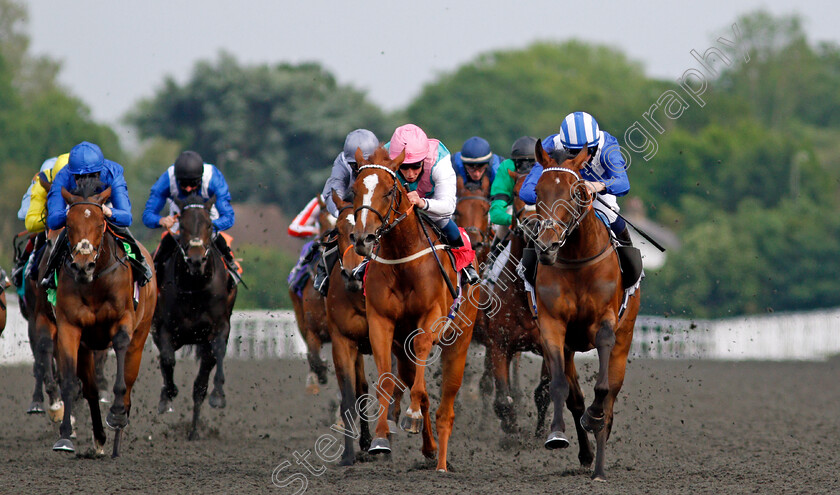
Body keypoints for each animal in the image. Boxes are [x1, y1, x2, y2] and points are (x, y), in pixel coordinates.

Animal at [53, 182, 158, 458]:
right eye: (69, 224)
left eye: (101, 223)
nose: (83, 266)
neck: (95, 283)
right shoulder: (69, 327)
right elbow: (70, 382)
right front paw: (65, 436)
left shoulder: (123, 320)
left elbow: (121, 365)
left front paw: (118, 415)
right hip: (87, 347)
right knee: (90, 389)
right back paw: (99, 438)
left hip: (140, 337)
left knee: (129, 385)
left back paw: (117, 438)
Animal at [352, 146, 476, 472]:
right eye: (354, 190)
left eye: (388, 191)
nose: (363, 239)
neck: (402, 258)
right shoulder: (381, 322)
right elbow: (385, 379)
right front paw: (380, 438)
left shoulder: (432, 316)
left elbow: (421, 347)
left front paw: (411, 415)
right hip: (401, 348)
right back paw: (430, 449)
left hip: (460, 341)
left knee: (446, 407)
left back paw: (442, 463)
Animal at [536, 140, 640, 480]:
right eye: (537, 191)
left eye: (575, 192)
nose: (547, 247)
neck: (578, 259)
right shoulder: (552, 325)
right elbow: (560, 386)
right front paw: (556, 434)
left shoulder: (605, 322)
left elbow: (603, 391)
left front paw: (596, 417)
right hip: (569, 347)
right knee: (575, 398)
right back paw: (586, 454)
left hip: (626, 335)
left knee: (609, 401)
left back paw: (599, 468)